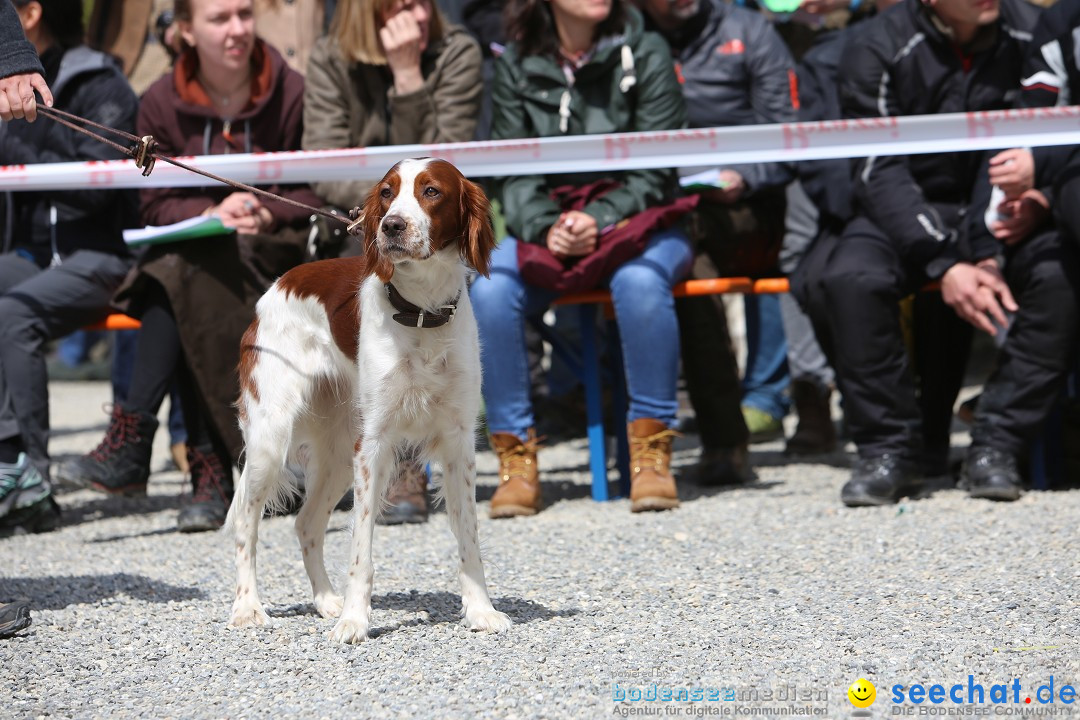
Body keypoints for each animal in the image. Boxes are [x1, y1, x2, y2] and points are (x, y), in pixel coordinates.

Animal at [224, 156, 509, 643]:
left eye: (432, 191)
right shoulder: (373, 445)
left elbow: (469, 540)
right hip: (270, 441)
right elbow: (361, 549)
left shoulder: (458, 443)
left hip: (337, 453)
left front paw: (481, 610)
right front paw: (355, 621)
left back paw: (326, 601)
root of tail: (280, 283)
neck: (421, 313)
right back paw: (248, 607)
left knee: (306, 524)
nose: (392, 226)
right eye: (387, 193)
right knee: (247, 521)